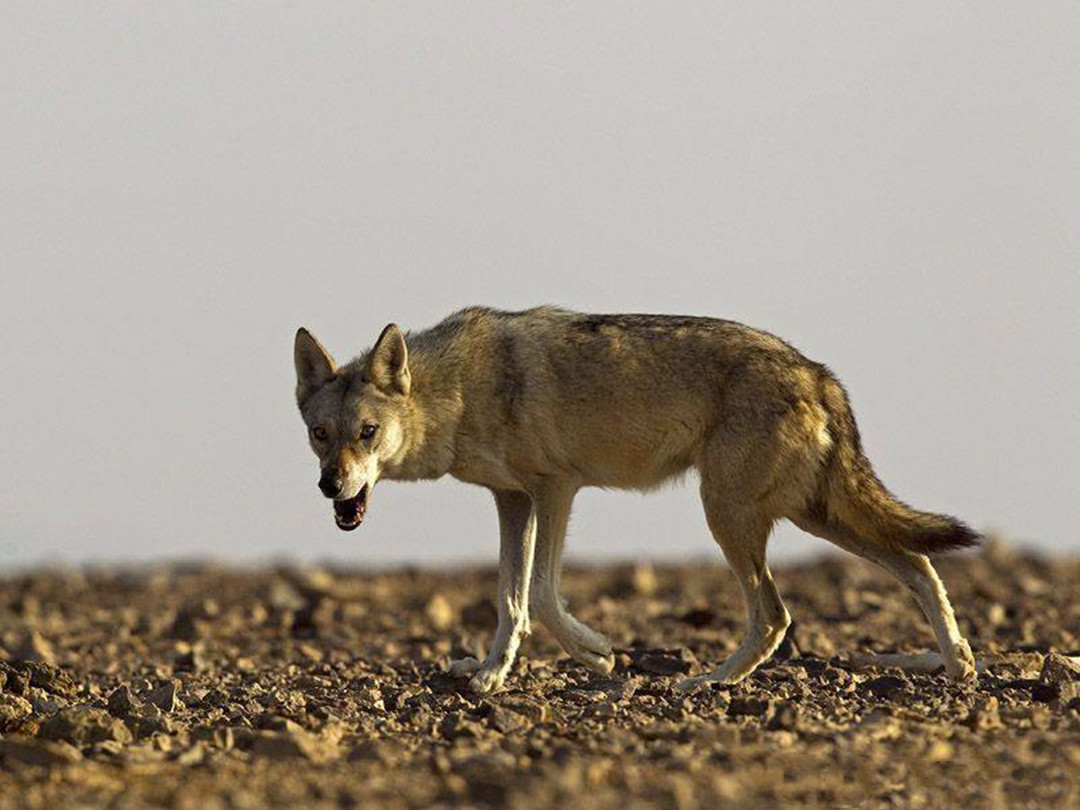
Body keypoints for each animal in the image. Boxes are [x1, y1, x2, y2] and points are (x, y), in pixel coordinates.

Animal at [293, 306, 980, 695]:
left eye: (367, 433)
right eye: (319, 435)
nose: (331, 486)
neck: (458, 390)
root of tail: (816, 371)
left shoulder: (555, 488)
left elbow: (541, 595)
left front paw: (597, 655)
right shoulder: (512, 499)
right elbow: (511, 599)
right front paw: (490, 673)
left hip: (733, 516)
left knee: (776, 616)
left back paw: (706, 683)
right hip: (809, 514)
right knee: (918, 564)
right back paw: (959, 666)